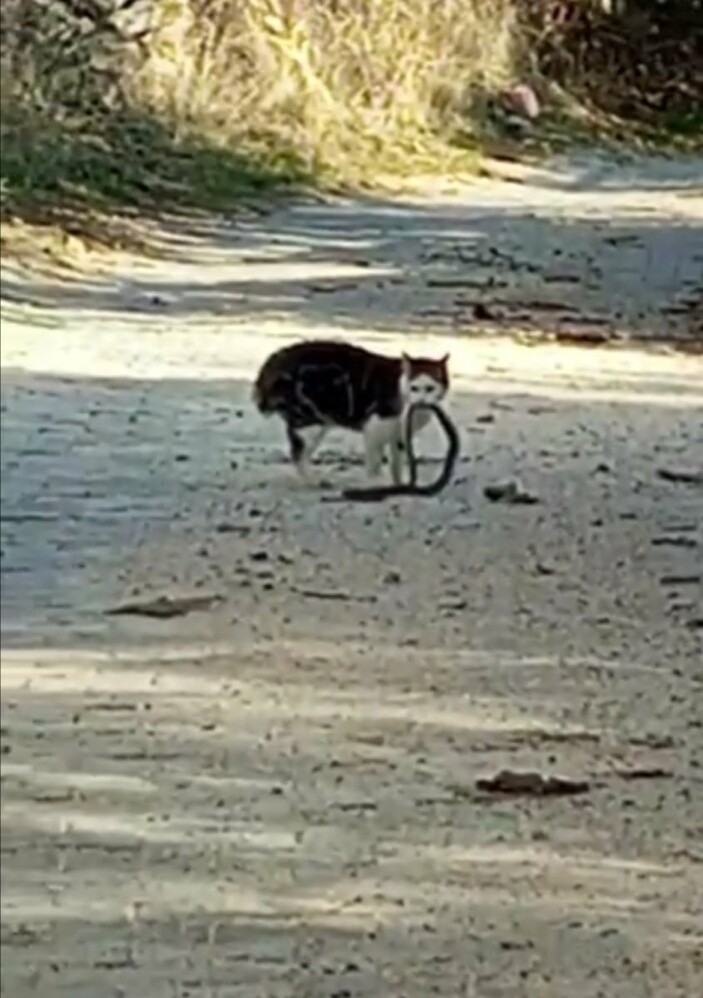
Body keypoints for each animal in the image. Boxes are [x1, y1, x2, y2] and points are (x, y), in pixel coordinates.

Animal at [253, 342, 452, 486]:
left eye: (430, 388)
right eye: (414, 388)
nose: (422, 401)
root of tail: (272, 363)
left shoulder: (399, 435)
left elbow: (396, 463)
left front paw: (399, 485)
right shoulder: (374, 428)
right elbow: (375, 462)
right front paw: (375, 482)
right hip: (311, 423)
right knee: (297, 454)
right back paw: (314, 481)